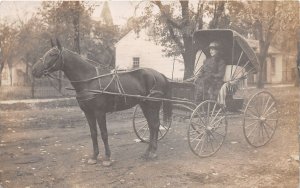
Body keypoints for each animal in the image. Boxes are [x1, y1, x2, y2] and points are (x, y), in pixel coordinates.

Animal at [31, 39, 172, 166]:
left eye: (53, 54)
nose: (33, 70)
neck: (89, 80)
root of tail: (159, 74)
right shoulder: (88, 113)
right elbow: (93, 134)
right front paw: (94, 157)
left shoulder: (100, 112)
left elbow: (104, 134)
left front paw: (107, 158)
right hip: (145, 105)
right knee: (152, 126)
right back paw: (148, 152)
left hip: (153, 105)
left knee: (155, 125)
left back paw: (152, 152)